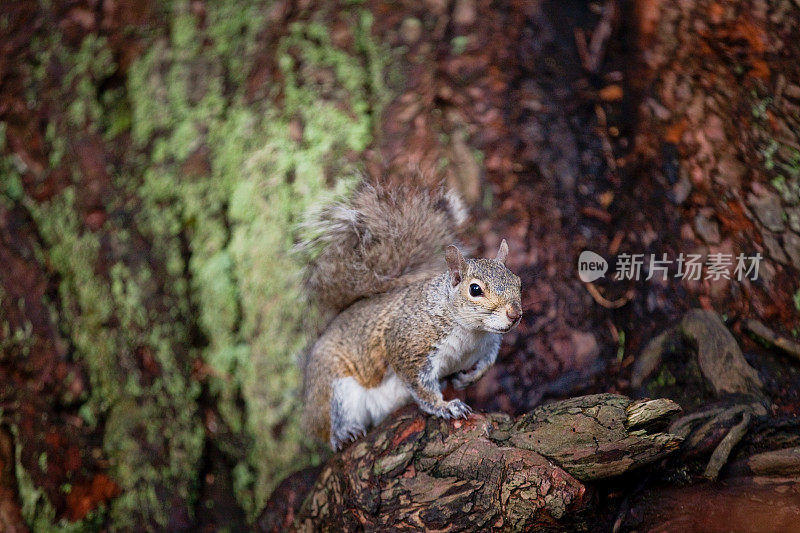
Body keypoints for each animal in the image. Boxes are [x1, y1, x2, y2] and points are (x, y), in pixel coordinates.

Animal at [296, 183, 520, 448]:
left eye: (518, 281)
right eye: (475, 290)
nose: (515, 314)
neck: (471, 333)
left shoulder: (488, 343)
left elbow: (488, 362)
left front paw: (469, 378)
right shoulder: (409, 346)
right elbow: (421, 387)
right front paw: (445, 406)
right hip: (333, 386)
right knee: (329, 424)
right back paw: (342, 432)